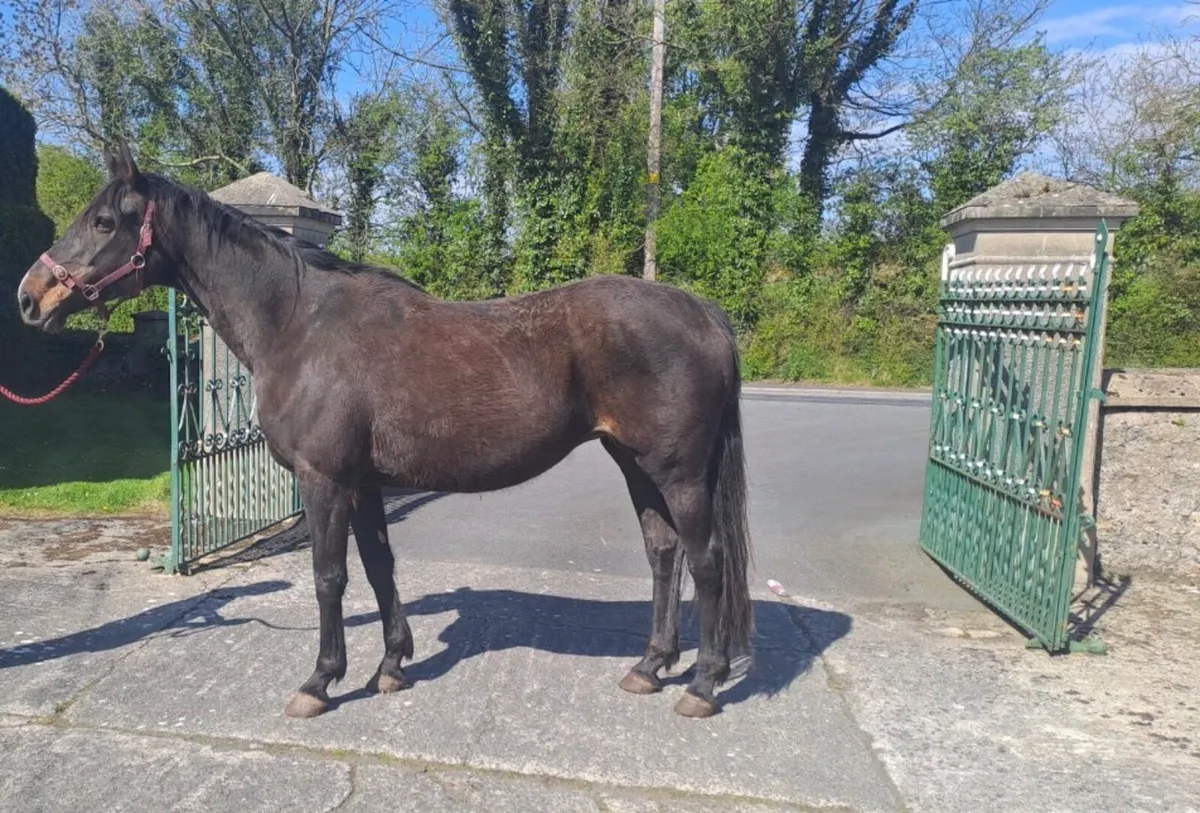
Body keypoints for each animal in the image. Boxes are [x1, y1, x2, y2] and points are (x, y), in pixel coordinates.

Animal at [16, 143, 754, 720]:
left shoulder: (323, 480)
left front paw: (320, 681)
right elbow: (378, 566)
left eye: (104, 220)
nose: (30, 296)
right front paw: (392, 665)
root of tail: (703, 312)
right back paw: (651, 667)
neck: (298, 323)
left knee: (706, 560)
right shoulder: (362, 481)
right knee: (663, 553)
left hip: (679, 472)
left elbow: (329, 576)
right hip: (636, 462)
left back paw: (703, 683)